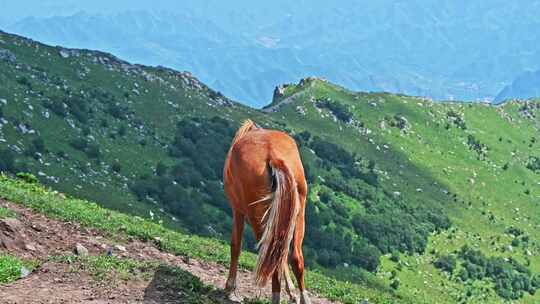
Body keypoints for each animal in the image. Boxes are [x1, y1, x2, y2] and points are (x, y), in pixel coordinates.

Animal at [223, 120, 308, 302]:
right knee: (294, 257)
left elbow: (236, 245)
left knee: (272, 257)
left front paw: (230, 288)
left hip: (257, 216)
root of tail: (273, 155)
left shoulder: (238, 210)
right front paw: (291, 291)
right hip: (298, 213)